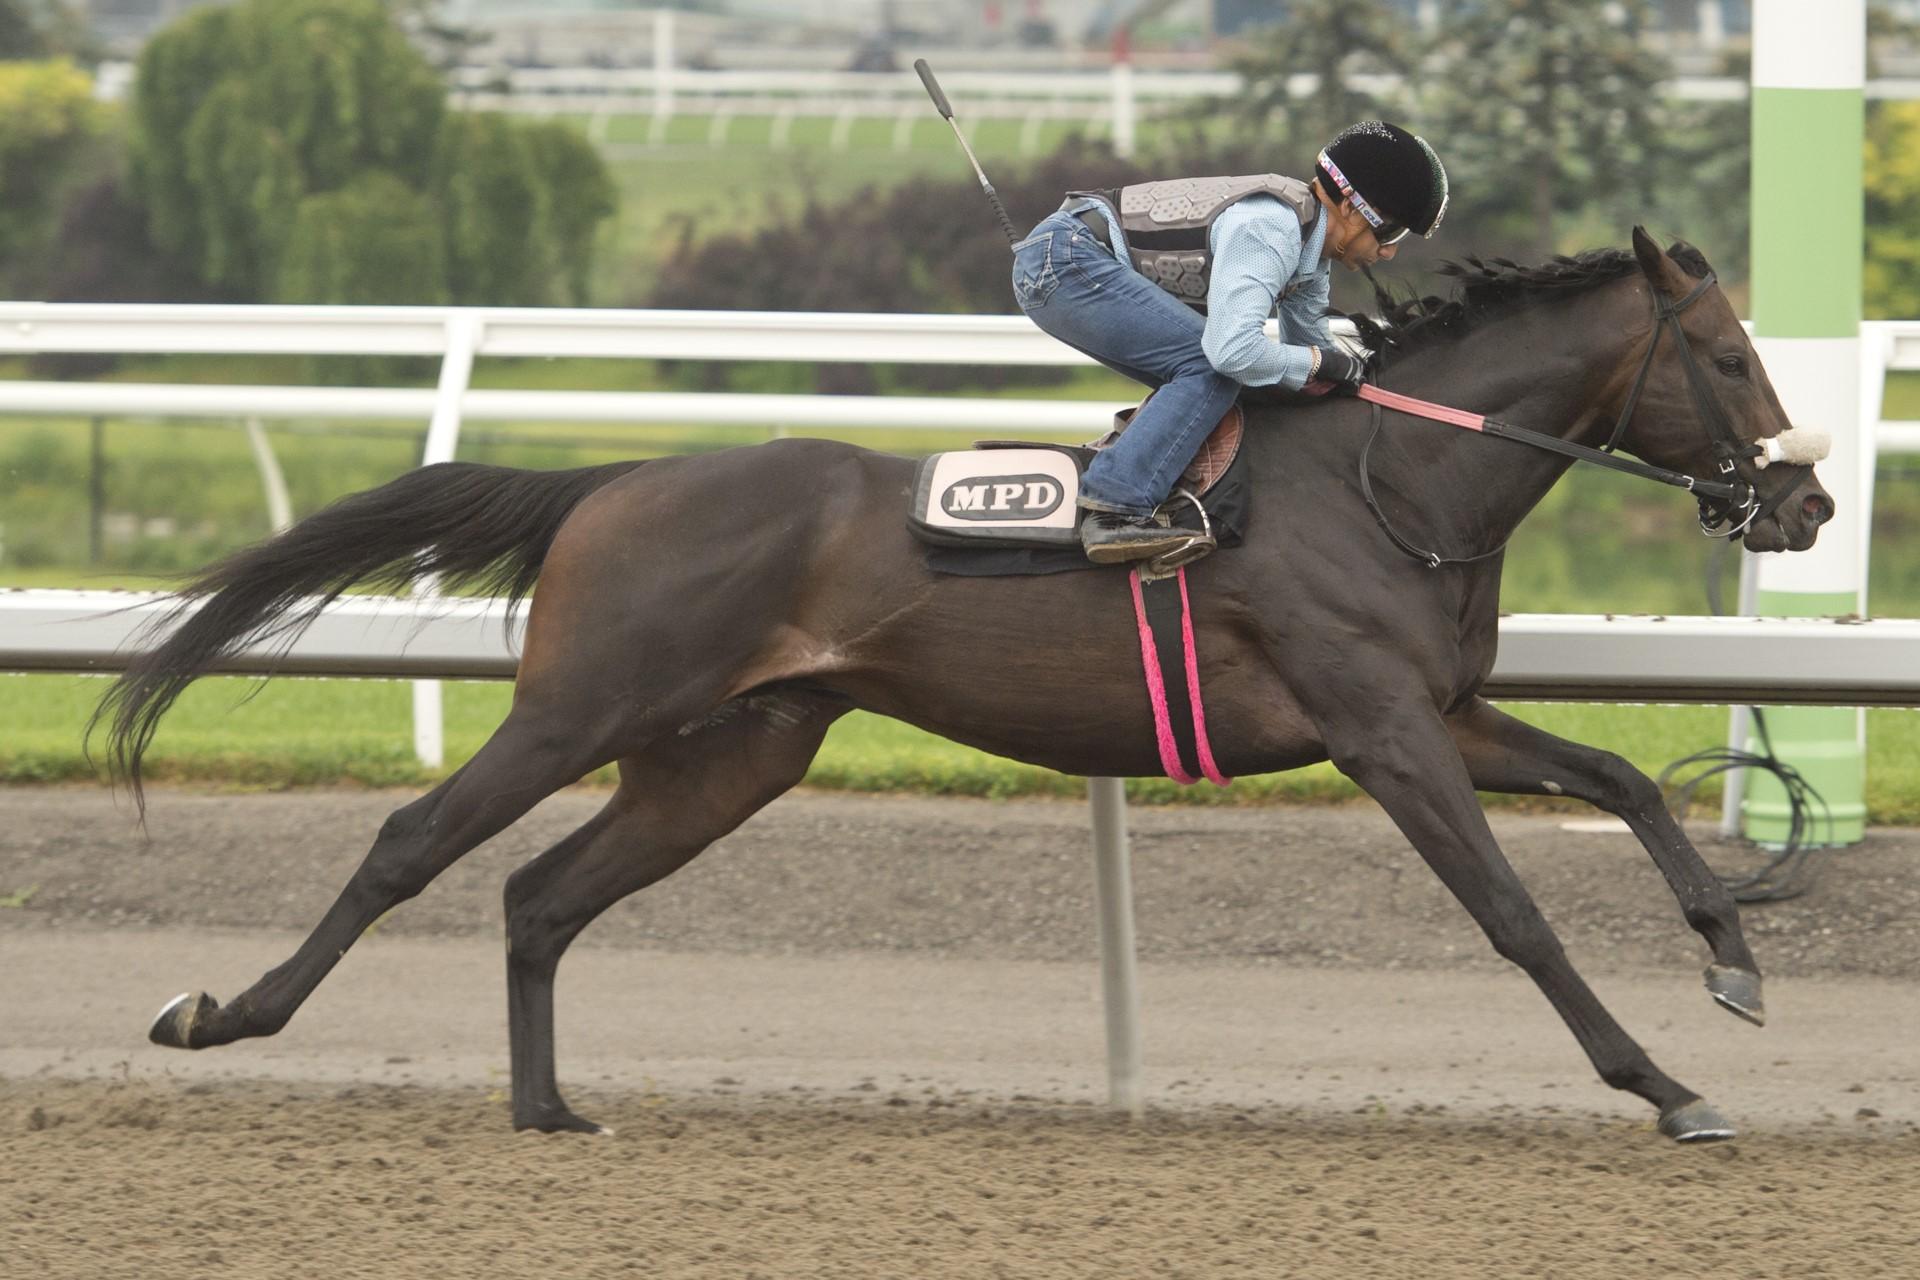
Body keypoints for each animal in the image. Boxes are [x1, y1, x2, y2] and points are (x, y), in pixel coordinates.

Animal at [101, 227, 1827, 1143]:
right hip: (581, 708)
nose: (1804, 504)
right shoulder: (1381, 730)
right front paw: (1665, 1084)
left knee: (541, 895)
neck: (1389, 481)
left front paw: (1736, 963)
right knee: (415, 844)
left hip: (732, 752)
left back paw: (548, 1107)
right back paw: (219, 1015)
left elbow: (1619, 781)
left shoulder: (1445, 711)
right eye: (1731, 358)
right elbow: (1516, 914)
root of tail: (618, 479)